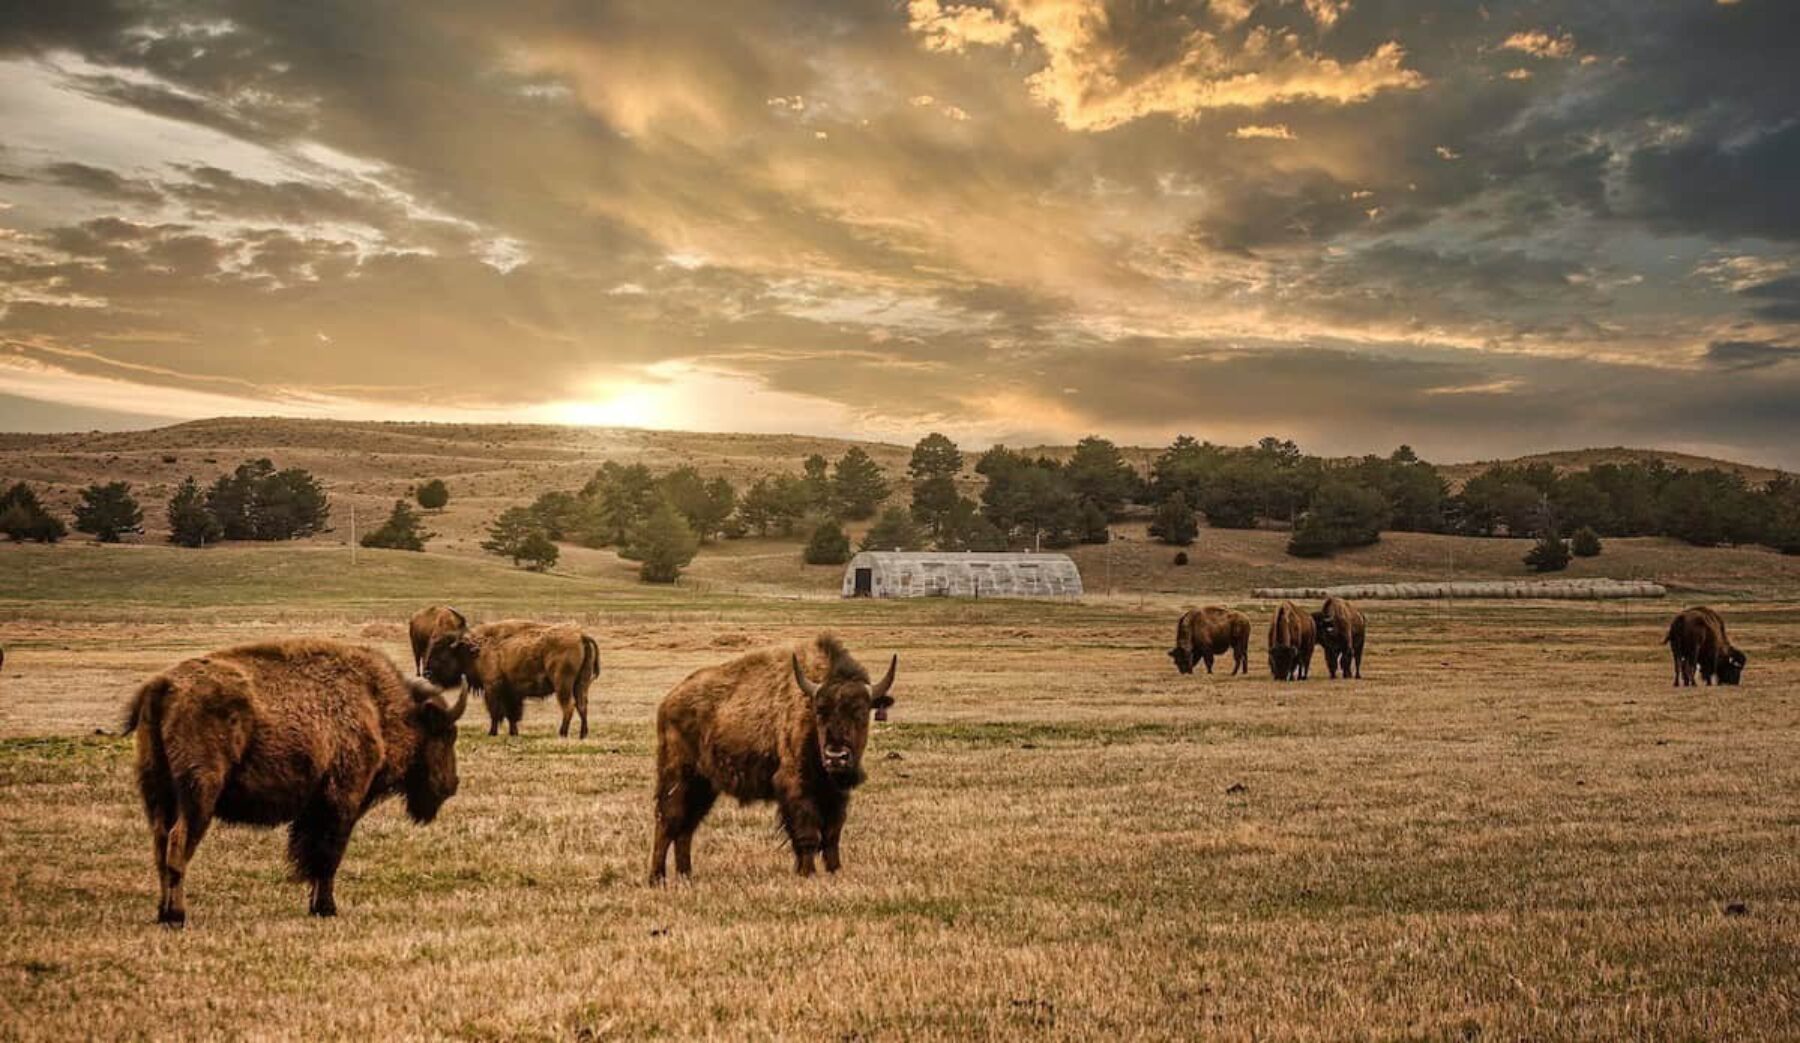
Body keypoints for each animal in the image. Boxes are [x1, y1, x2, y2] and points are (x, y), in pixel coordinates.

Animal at [120, 641, 464, 929]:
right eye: (445, 734)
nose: (451, 785)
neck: (377, 704)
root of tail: (162, 687)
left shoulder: (315, 808)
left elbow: (313, 856)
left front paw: (316, 906)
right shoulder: (342, 800)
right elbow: (327, 857)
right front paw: (326, 908)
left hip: (158, 794)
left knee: (160, 847)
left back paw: (163, 912)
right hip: (198, 794)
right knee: (178, 844)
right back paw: (177, 916)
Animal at [651, 634, 896, 886]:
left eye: (861, 712)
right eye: (820, 711)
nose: (836, 757)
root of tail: (667, 703)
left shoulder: (836, 794)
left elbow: (831, 834)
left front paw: (834, 870)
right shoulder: (796, 787)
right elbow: (807, 833)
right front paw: (807, 872)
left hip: (704, 787)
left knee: (685, 829)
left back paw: (686, 875)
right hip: (678, 779)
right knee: (666, 823)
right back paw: (657, 878)